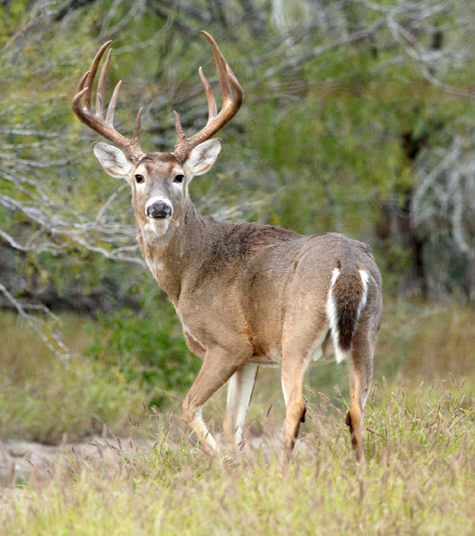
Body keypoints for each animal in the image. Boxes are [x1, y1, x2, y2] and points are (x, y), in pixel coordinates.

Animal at [73, 32, 384, 468]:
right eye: (138, 177)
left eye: (179, 176)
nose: (159, 208)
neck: (188, 274)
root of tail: (349, 264)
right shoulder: (252, 356)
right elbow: (232, 425)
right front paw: (234, 463)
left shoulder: (227, 342)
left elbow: (190, 407)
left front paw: (224, 464)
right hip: (366, 336)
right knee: (356, 409)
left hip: (297, 333)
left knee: (297, 406)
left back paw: (283, 472)